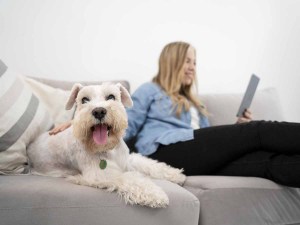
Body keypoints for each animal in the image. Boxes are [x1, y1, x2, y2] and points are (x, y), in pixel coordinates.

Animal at [28, 82, 188, 207]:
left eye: (111, 97)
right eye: (84, 99)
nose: (99, 111)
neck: (108, 149)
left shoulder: (128, 160)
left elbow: (149, 165)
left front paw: (175, 175)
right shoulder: (101, 174)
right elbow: (130, 178)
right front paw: (154, 194)